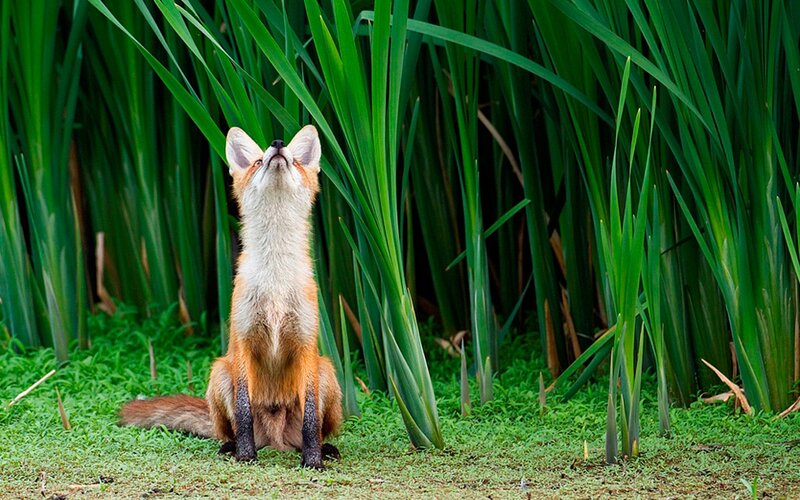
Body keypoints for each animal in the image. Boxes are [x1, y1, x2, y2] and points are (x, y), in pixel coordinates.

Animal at [120, 125, 343, 469]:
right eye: (258, 162)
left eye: (293, 160)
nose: (277, 144)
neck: (275, 282)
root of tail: (276, 439)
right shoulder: (243, 342)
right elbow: (243, 410)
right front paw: (246, 455)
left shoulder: (306, 346)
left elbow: (309, 420)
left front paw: (313, 460)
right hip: (220, 373)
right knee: (230, 428)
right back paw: (231, 447)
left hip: (327, 373)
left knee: (315, 429)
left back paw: (324, 448)